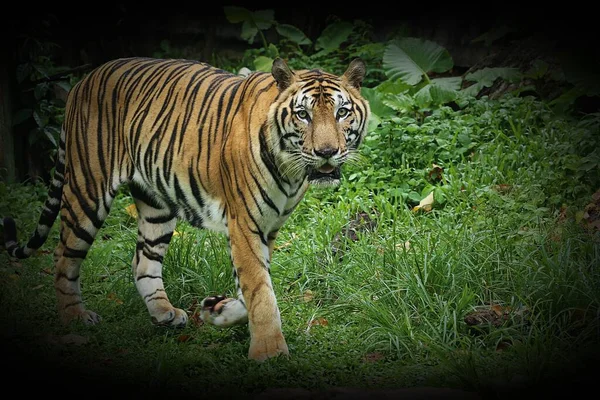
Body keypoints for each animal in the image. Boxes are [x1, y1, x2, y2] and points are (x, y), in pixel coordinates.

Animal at [2, 55, 370, 360]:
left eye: (342, 112)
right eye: (302, 114)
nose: (326, 152)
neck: (292, 170)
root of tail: (83, 80)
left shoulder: (268, 228)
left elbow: (251, 286)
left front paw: (218, 311)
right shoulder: (244, 223)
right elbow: (260, 290)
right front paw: (269, 351)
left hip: (156, 205)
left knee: (143, 260)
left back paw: (163, 313)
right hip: (87, 188)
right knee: (63, 254)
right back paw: (75, 317)